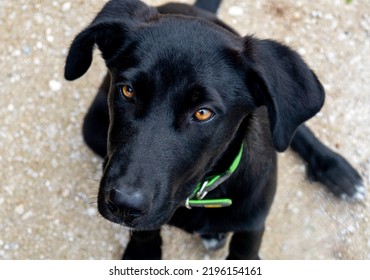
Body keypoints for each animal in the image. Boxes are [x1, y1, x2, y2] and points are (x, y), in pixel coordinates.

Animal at [64, 0, 364, 260]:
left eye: (203, 113)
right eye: (128, 91)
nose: (124, 206)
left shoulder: (253, 225)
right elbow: (145, 235)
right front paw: (142, 251)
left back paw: (335, 169)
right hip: (92, 128)